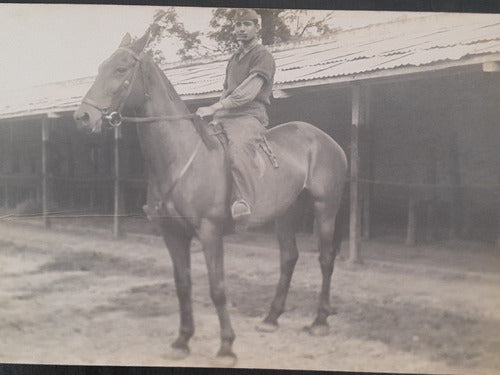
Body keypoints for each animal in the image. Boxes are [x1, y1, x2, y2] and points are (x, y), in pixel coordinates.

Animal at [74, 27, 346, 368]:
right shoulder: (173, 234)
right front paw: (182, 341)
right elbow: (183, 285)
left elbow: (217, 288)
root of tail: (328, 141)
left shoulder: (210, 232)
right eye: (101, 67)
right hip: (287, 214)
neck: (180, 157)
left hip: (326, 209)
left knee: (325, 259)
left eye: (122, 69)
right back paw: (271, 318)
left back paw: (319, 321)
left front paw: (227, 346)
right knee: (288, 258)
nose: (83, 117)